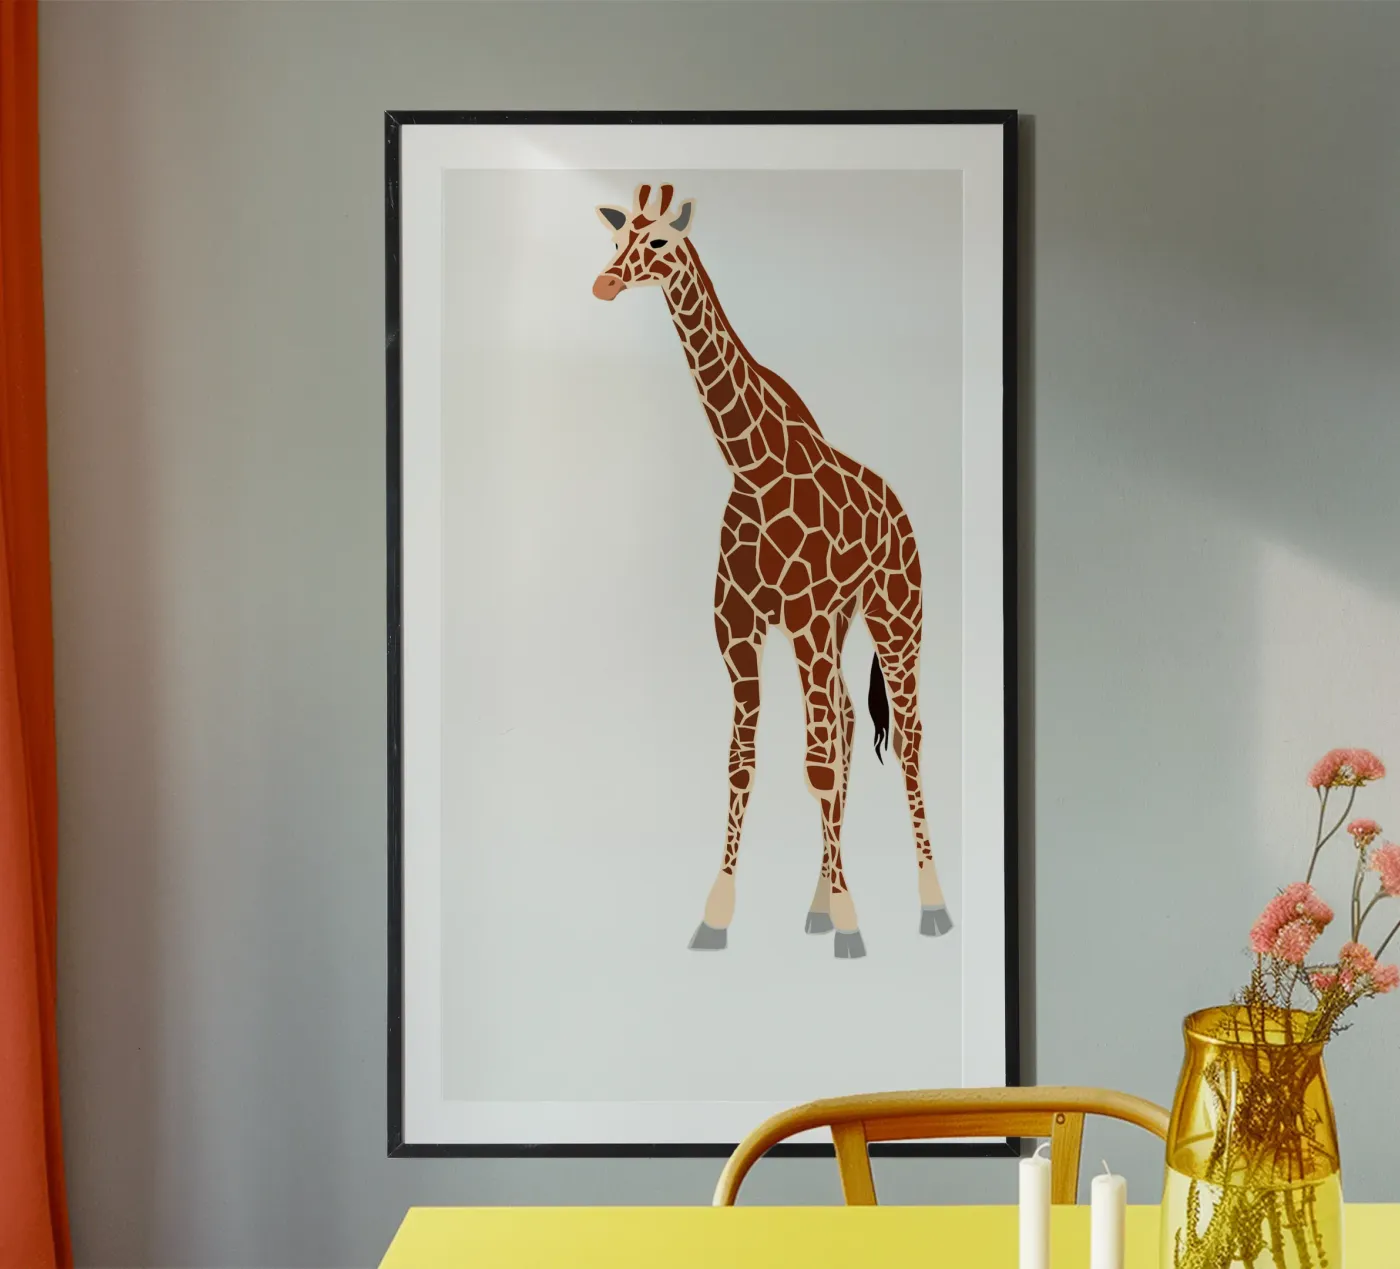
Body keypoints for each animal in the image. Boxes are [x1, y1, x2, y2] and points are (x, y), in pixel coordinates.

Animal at [591, 184, 953, 959]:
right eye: (616, 236)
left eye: (659, 241)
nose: (605, 283)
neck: (752, 467)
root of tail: (901, 509)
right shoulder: (738, 626)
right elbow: (744, 759)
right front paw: (718, 915)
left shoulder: (806, 617)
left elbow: (815, 765)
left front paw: (852, 923)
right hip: (837, 625)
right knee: (845, 720)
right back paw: (818, 902)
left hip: (894, 614)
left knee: (903, 737)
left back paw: (930, 904)